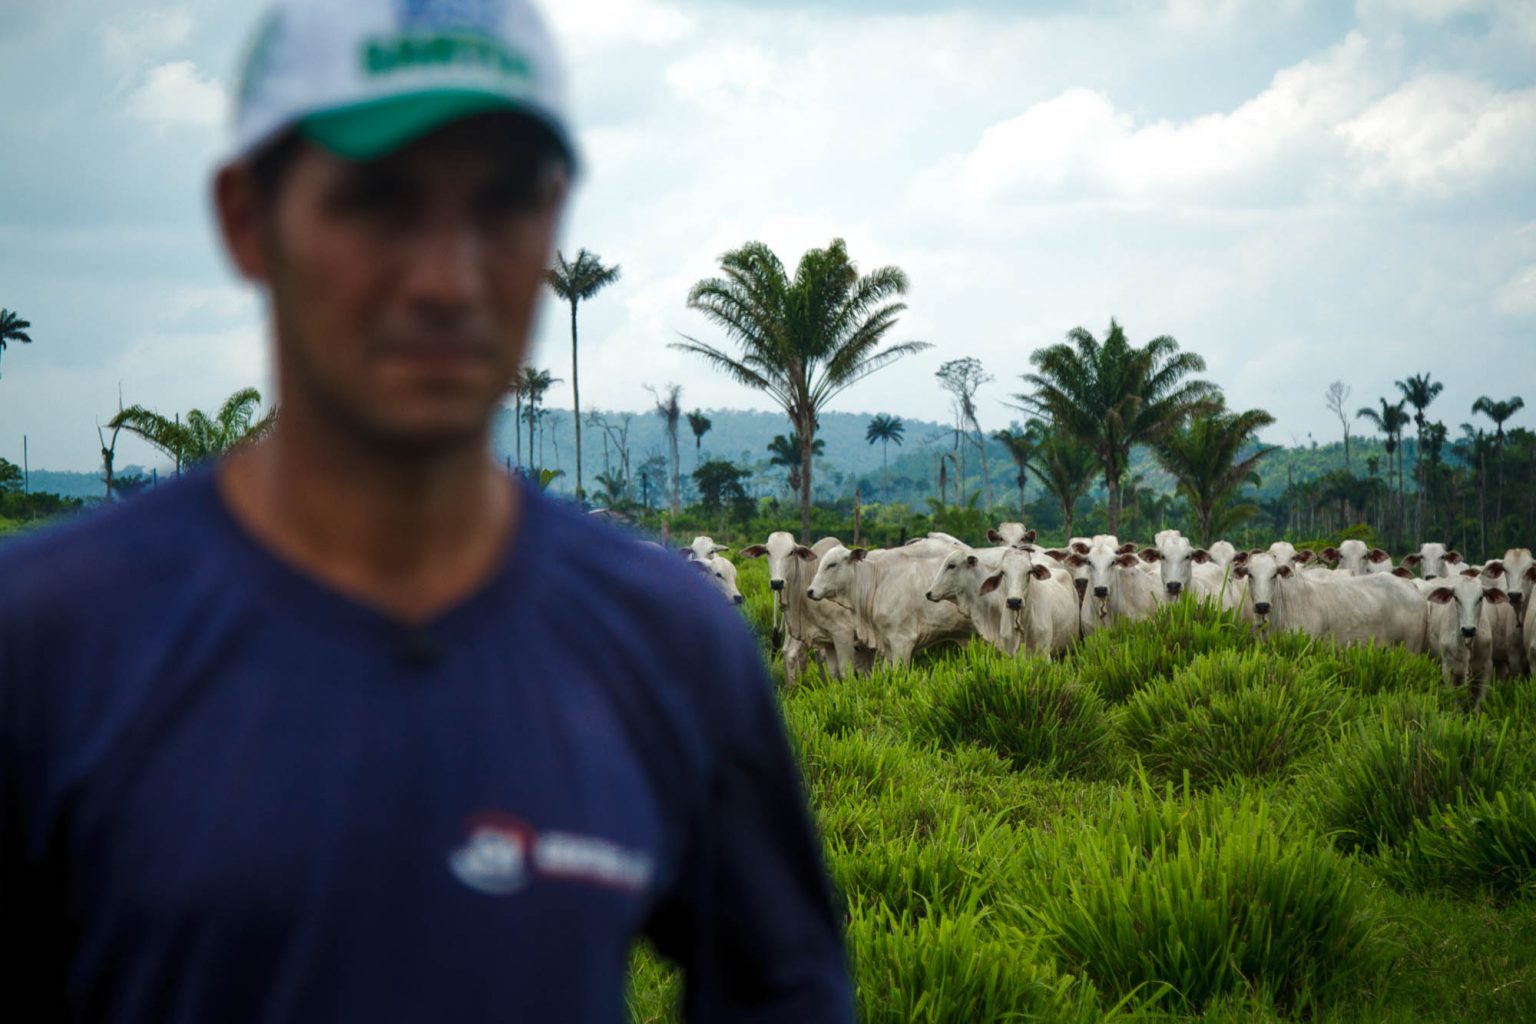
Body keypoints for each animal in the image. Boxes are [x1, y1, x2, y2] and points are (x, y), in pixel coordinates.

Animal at [1424, 573, 1508, 709]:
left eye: (1480, 598)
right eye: (1456, 598)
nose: (1468, 630)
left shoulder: (1486, 668)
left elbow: (1479, 704)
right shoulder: (1447, 669)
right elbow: (1456, 702)